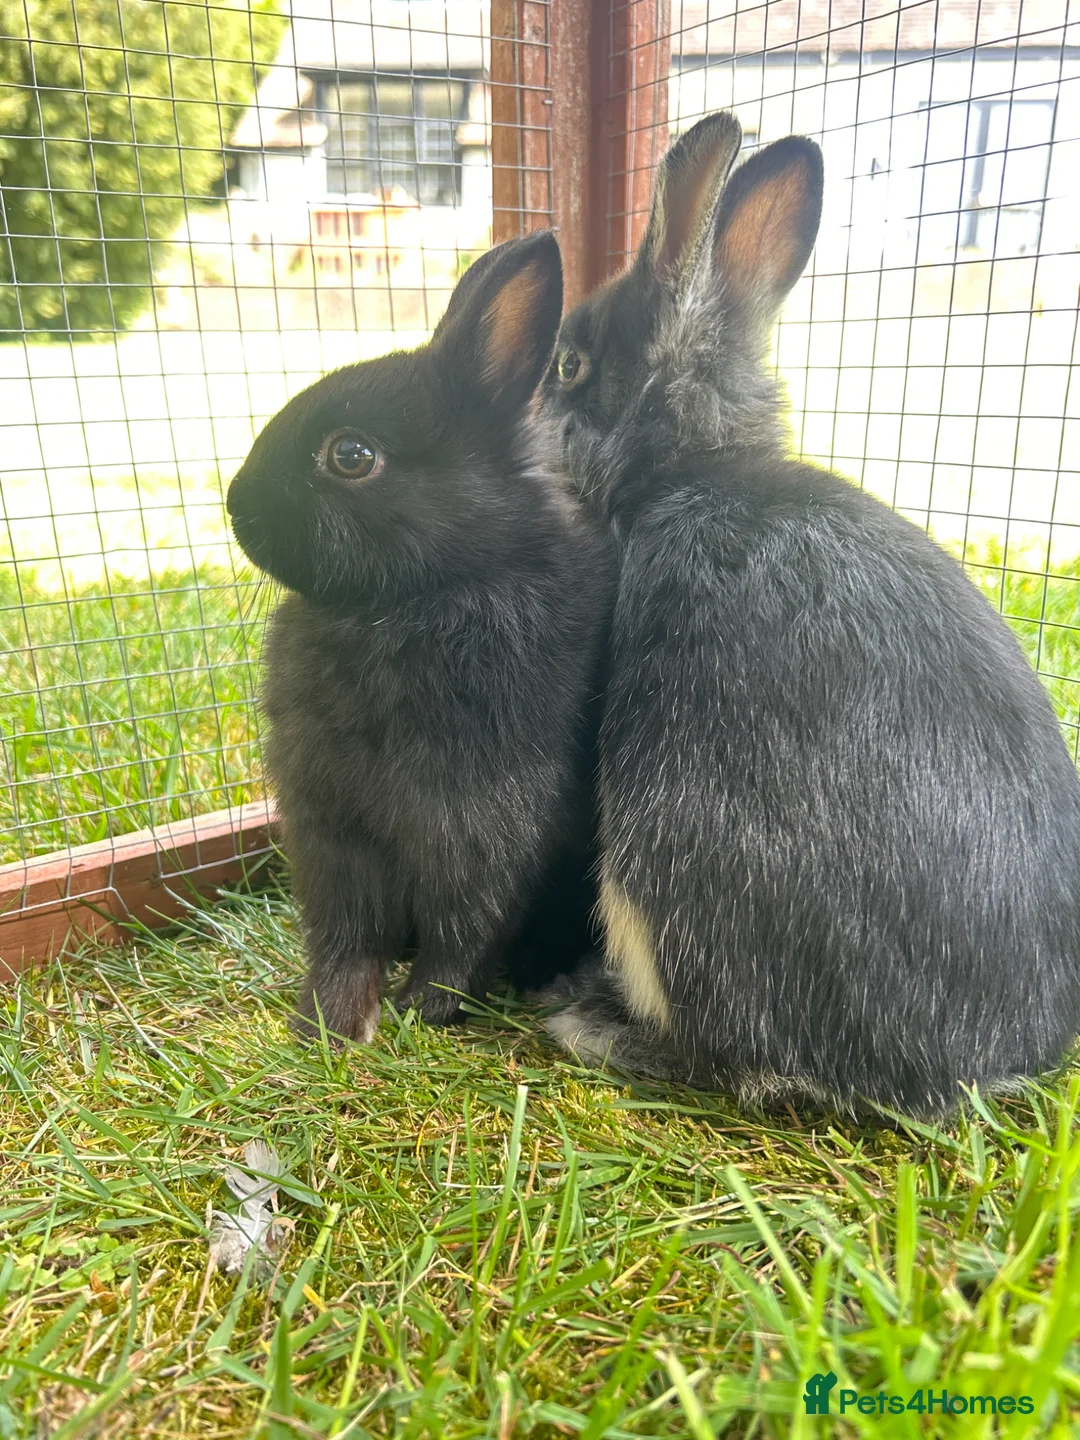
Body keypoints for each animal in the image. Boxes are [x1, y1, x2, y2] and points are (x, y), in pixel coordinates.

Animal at [227, 231, 616, 1044]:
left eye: (351, 455)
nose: (235, 504)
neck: (418, 596)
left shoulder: (482, 819)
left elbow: (466, 925)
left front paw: (425, 1010)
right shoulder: (331, 827)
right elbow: (345, 933)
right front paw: (328, 1021)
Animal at [536, 111, 1080, 1118]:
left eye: (570, 365)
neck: (687, 472)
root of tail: (972, 1063)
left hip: (666, 852)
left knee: (739, 1057)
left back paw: (593, 1024)